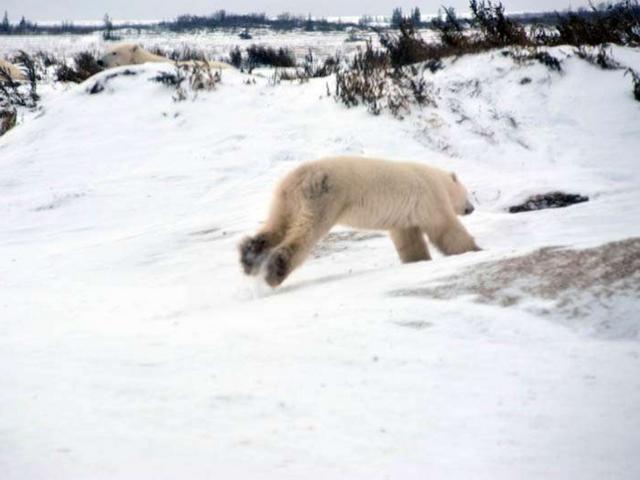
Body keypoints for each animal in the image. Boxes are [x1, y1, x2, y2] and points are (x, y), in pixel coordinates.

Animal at [240, 156, 480, 286]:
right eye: (468, 193)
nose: (471, 208)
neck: (439, 180)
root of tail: (301, 177)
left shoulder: (404, 216)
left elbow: (408, 239)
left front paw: (418, 259)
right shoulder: (430, 197)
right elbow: (445, 228)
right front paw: (474, 249)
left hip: (286, 199)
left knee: (278, 225)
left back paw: (249, 256)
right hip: (324, 196)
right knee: (305, 232)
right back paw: (277, 269)